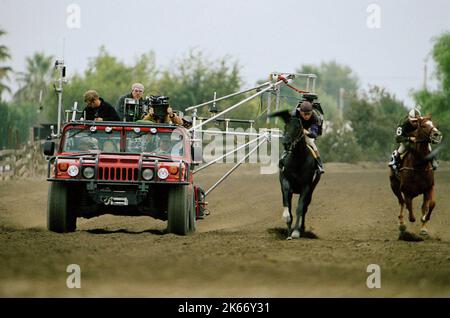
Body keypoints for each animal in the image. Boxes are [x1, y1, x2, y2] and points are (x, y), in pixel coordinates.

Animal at [268, 109, 322, 238]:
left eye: (298, 128)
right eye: (285, 126)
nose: (286, 143)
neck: (298, 160)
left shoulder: (306, 186)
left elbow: (300, 208)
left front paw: (296, 231)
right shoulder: (285, 182)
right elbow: (287, 205)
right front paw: (288, 230)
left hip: (312, 189)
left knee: (305, 207)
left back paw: (301, 229)